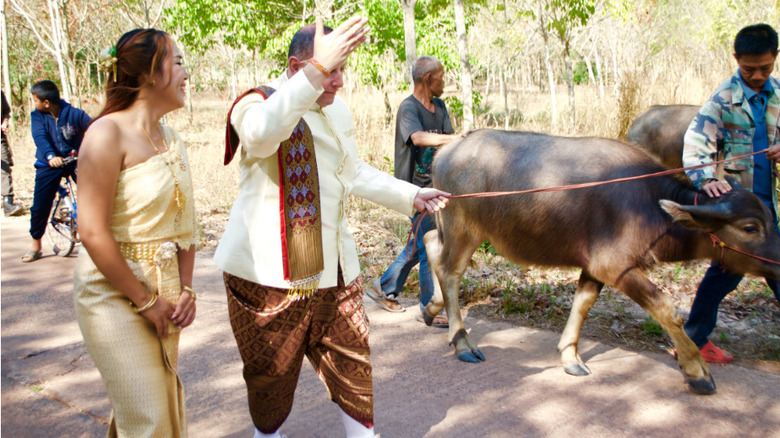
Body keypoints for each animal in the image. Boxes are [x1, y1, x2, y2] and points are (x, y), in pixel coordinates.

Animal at [424, 128, 780, 396]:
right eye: (750, 227)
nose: (777, 262)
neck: (650, 205)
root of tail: (446, 151)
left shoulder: (595, 267)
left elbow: (582, 304)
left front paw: (570, 356)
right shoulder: (616, 266)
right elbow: (666, 309)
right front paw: (697, 371)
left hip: (449, 226)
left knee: (430, 243)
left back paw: (430, 309)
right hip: (462, 228)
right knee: (450, 272)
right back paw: (462, 342)